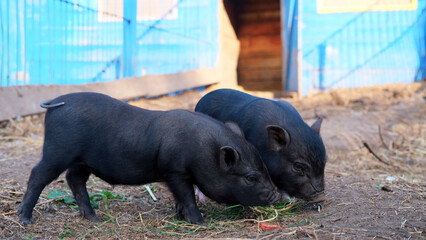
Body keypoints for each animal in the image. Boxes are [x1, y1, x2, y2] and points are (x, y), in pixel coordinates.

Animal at [18, 91, 284, 225]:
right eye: (251, 177)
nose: (276, 196)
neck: (204, 150)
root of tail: (56, 103)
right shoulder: (175, 170)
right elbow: (187, 196)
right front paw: (200, 222)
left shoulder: (177, 175)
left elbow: (180, 197)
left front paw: (180, 217)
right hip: (57, 151)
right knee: (37, 174)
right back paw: (26, 219)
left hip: (83, 161)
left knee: (74, 179)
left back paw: (93, 218)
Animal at [195, 88, 328, 201]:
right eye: (298, 166)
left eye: (324, 162)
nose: (321, 196)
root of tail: (201, 100)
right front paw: (286, 198)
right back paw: (203, 200)